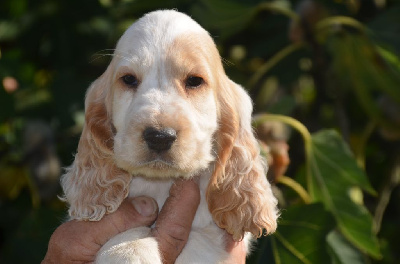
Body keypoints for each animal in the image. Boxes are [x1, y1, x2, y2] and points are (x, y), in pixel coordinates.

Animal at [61, 9, 278, 262]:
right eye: (129, 79)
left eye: (194, 81)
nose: (159, 137)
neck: (161, 183)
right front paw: (129, 252)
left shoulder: (215, 240)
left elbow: (198, 240)